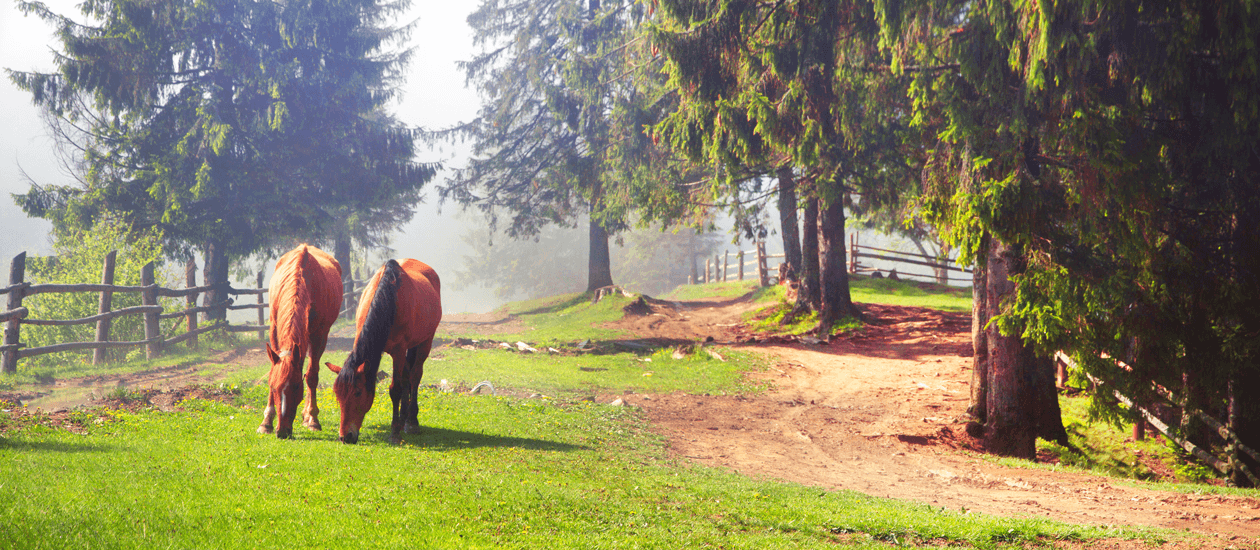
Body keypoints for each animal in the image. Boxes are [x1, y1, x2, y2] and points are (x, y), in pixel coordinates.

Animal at [257, 244, 345, 437]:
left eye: (297, 386)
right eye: (274, 387)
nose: (282, 431)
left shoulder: (319, 335)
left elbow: (311, 376)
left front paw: (313, 419)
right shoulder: (274, 331)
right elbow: (273, 368)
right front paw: (266, 422)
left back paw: (307, 416)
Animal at [325, 259, 443, 443]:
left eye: (358, 393)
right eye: (338, 394)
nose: (345, 437)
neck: (388, 299)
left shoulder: (399, 351)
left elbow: (395, 389)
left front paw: (394, 432)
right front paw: (398, 424)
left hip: (425, 341)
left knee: (415, 376)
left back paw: (411, 422)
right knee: (407, 376)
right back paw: (403, 418)